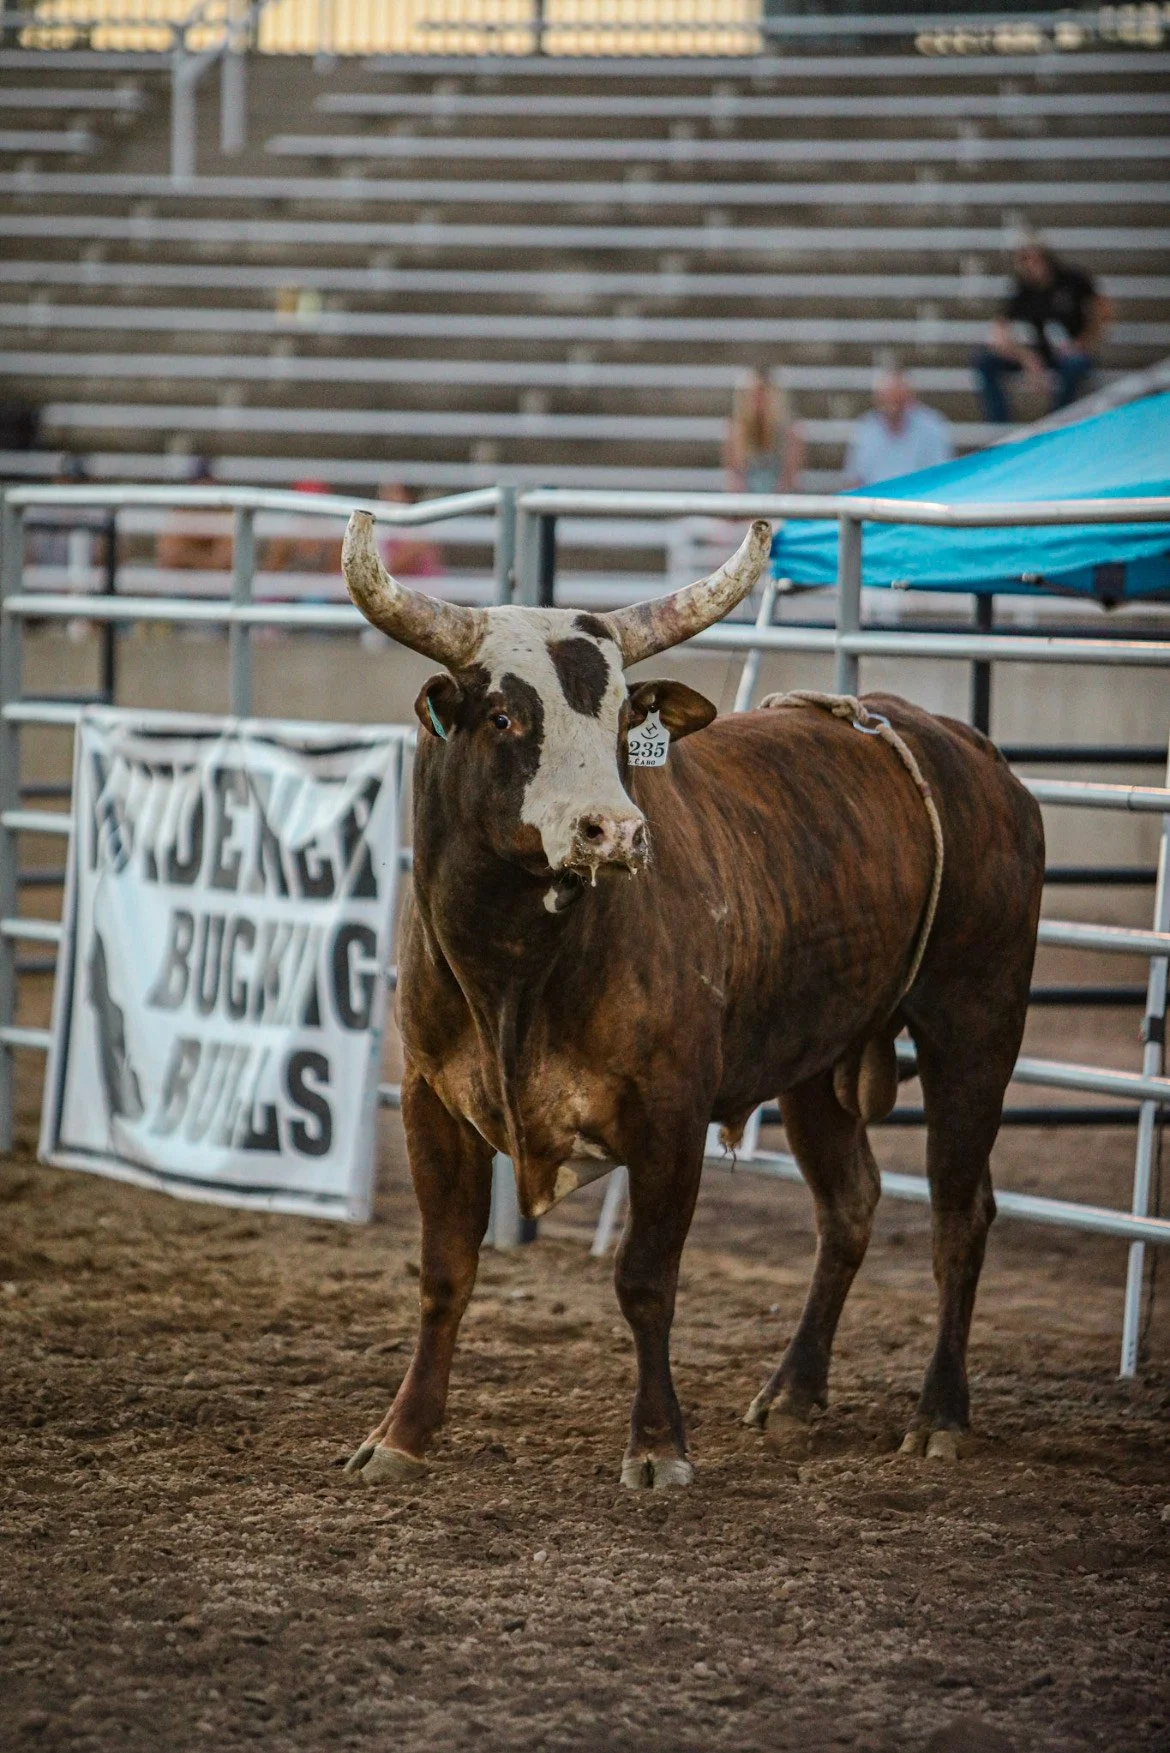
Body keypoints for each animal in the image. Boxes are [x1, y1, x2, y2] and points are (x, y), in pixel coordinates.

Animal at [339, 510, 1045, 1490]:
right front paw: (402, 1433)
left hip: (975, 1026)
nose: (615, 831)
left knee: (957, 1215)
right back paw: (793, 1392)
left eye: (620, 718)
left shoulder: (668, 1113)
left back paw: (940, 1412)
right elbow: (445, 1272)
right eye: (506, 714)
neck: (518, 971)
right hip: (819, 1057)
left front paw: (658, 1445)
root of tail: (969, 751)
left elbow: (645, 1281)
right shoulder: (430, 1103)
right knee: (849, 1203)